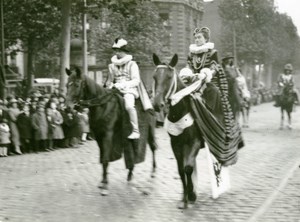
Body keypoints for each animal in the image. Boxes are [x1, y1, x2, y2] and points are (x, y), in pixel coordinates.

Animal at [64, 67, 158, 195]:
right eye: (66, 85)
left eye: (77, 85)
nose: (67, 108)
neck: (102, 105)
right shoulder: (99, 136)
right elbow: (103, 156)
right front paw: (103, 181)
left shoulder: (107, 134)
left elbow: (105, 158)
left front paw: (104, 185)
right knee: (132, 155)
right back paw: (130, 174)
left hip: (150, 132)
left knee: (153, 148)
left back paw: (153, 173)